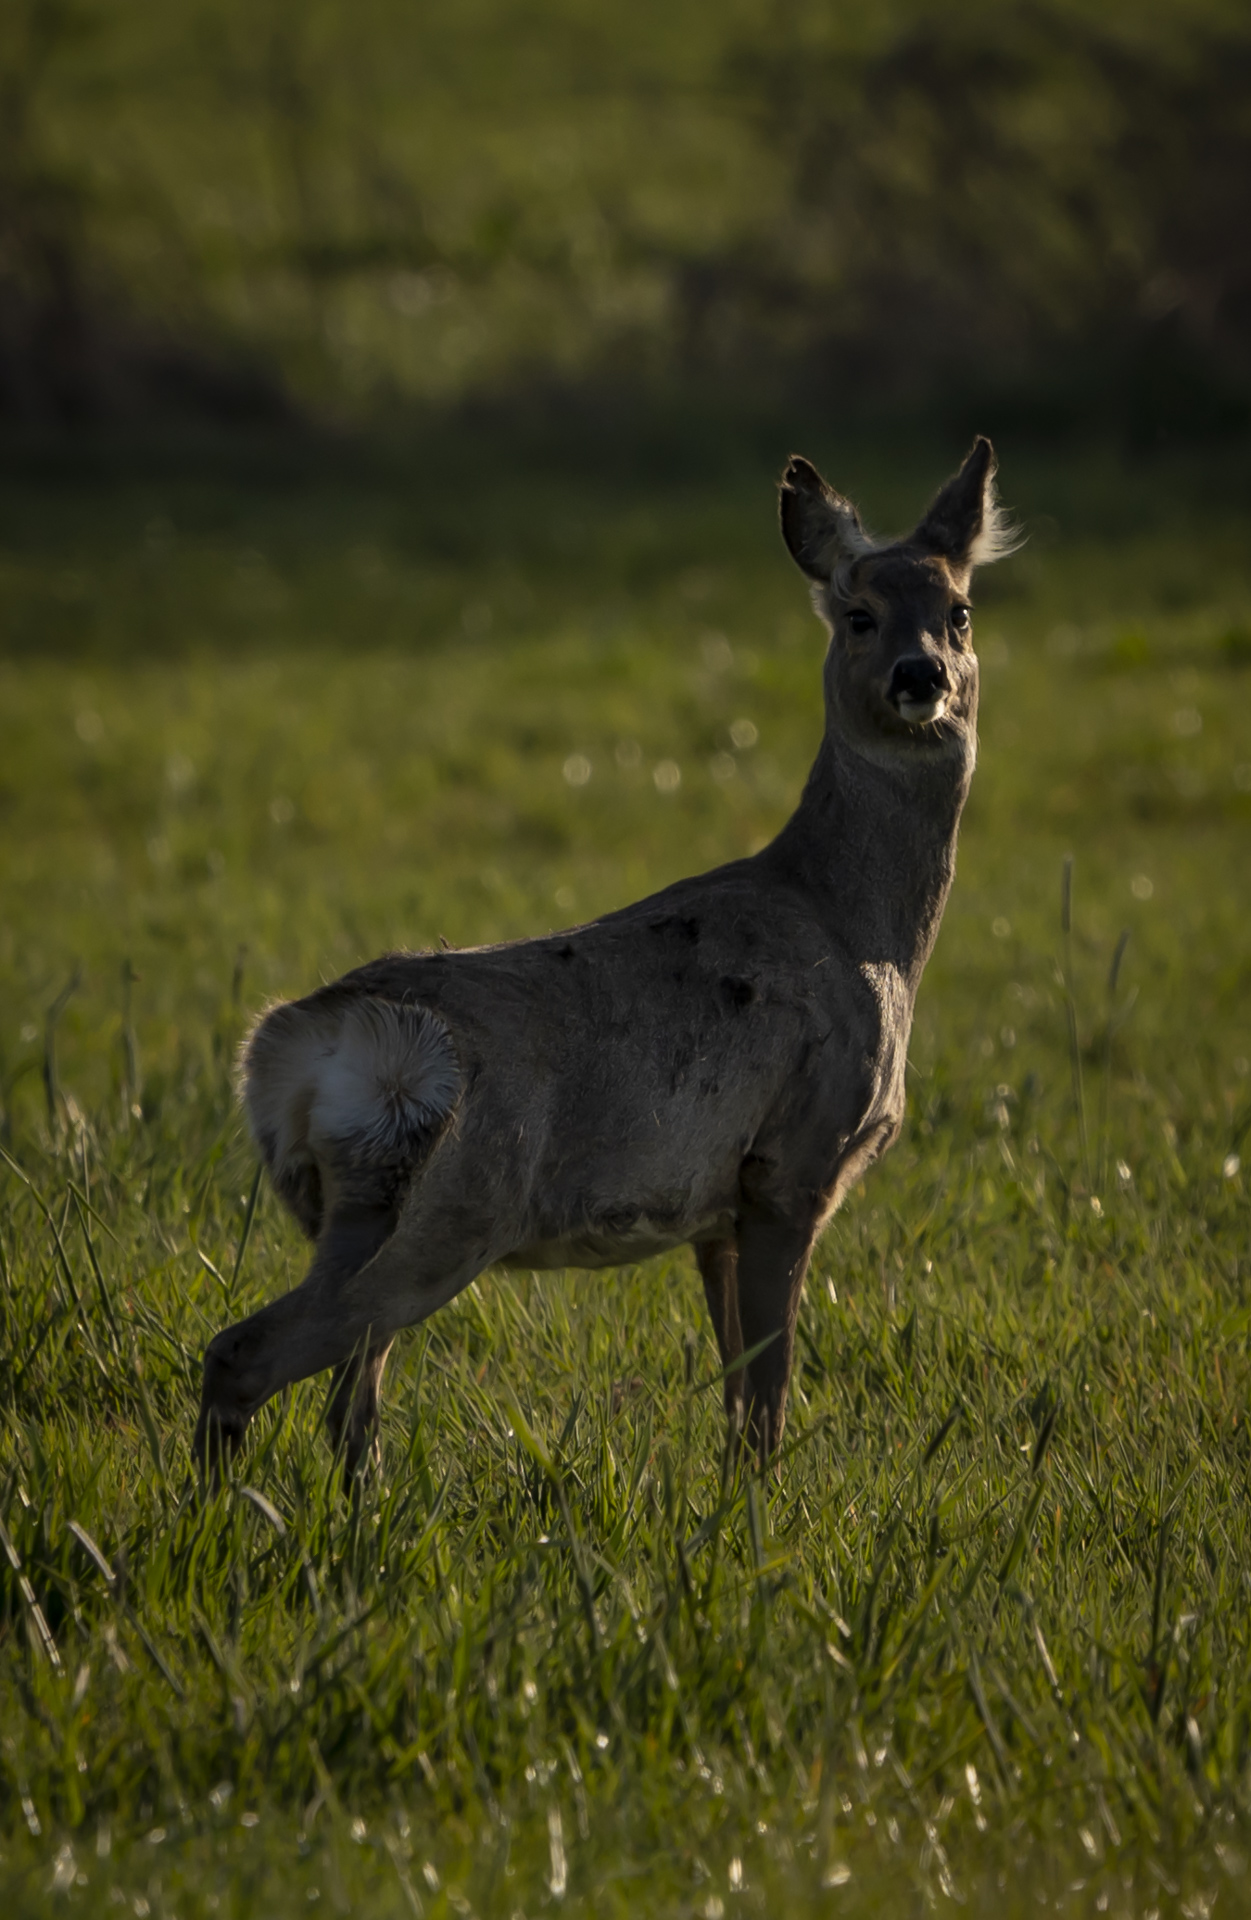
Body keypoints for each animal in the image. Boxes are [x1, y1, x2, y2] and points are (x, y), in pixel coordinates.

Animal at [192, 441, 1013, 1474]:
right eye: (858, 613)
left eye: (959, 611)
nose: (920, 674)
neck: (860, 930)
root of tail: (305, 1041)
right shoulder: (795, 1160)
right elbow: (767, 1397)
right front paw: (761, 1507)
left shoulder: (715, 1210)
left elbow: (737, 1395)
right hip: (467, 1200)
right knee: (245, 1352)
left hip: (354, 1204)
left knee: (348, 1401)